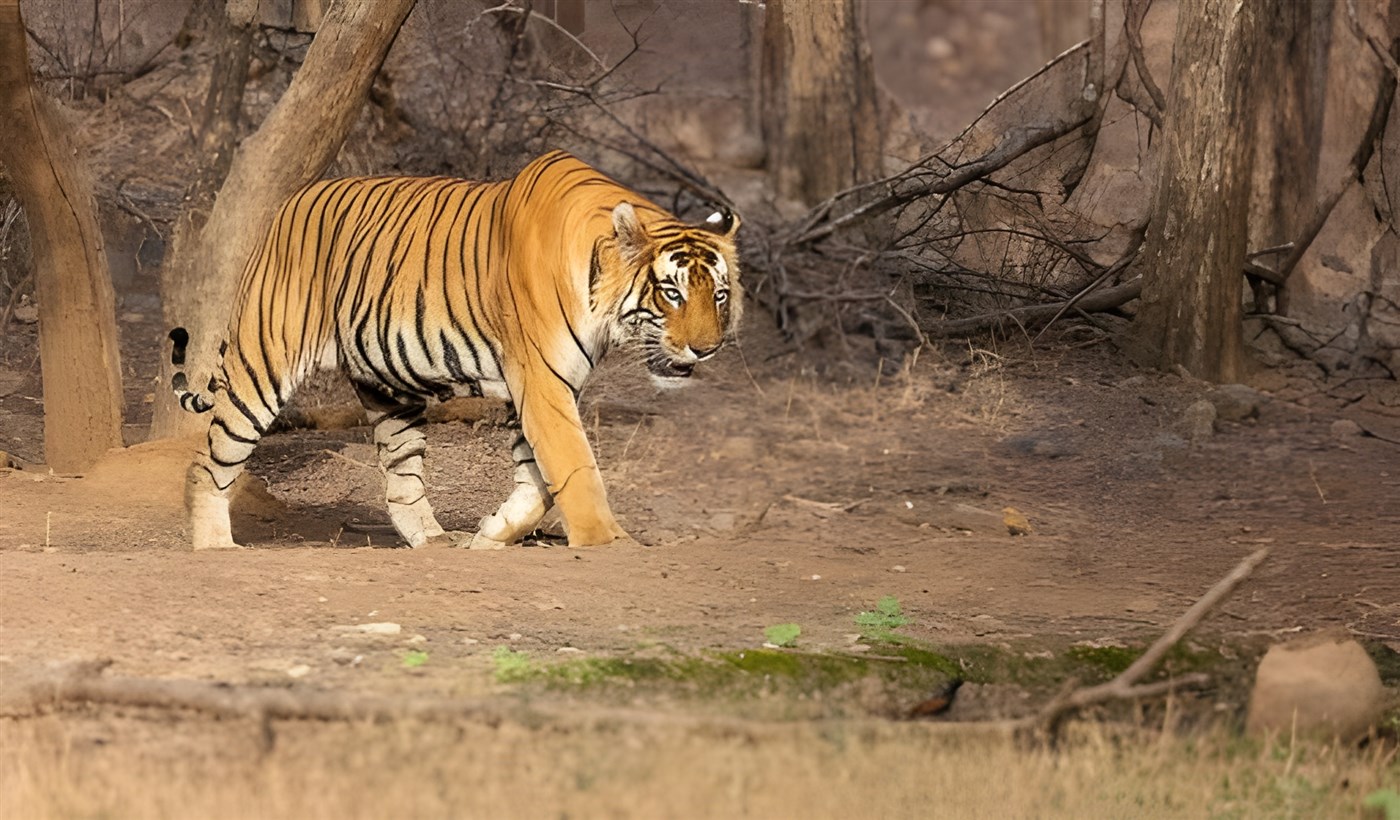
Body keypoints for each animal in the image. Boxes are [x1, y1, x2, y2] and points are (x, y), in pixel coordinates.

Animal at [169, 150, 742, 551]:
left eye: (718, 294)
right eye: (671, 294)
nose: (706, 349)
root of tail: (288, 204)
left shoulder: (536, 389)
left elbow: (539, 481)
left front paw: (491, 534)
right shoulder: (543, 383)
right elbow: (575, 469)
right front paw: (611, 545)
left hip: (388, 387)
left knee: (401, 479)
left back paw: (435, 543)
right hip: (264, 362)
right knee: (210, 460)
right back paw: (216, 546)